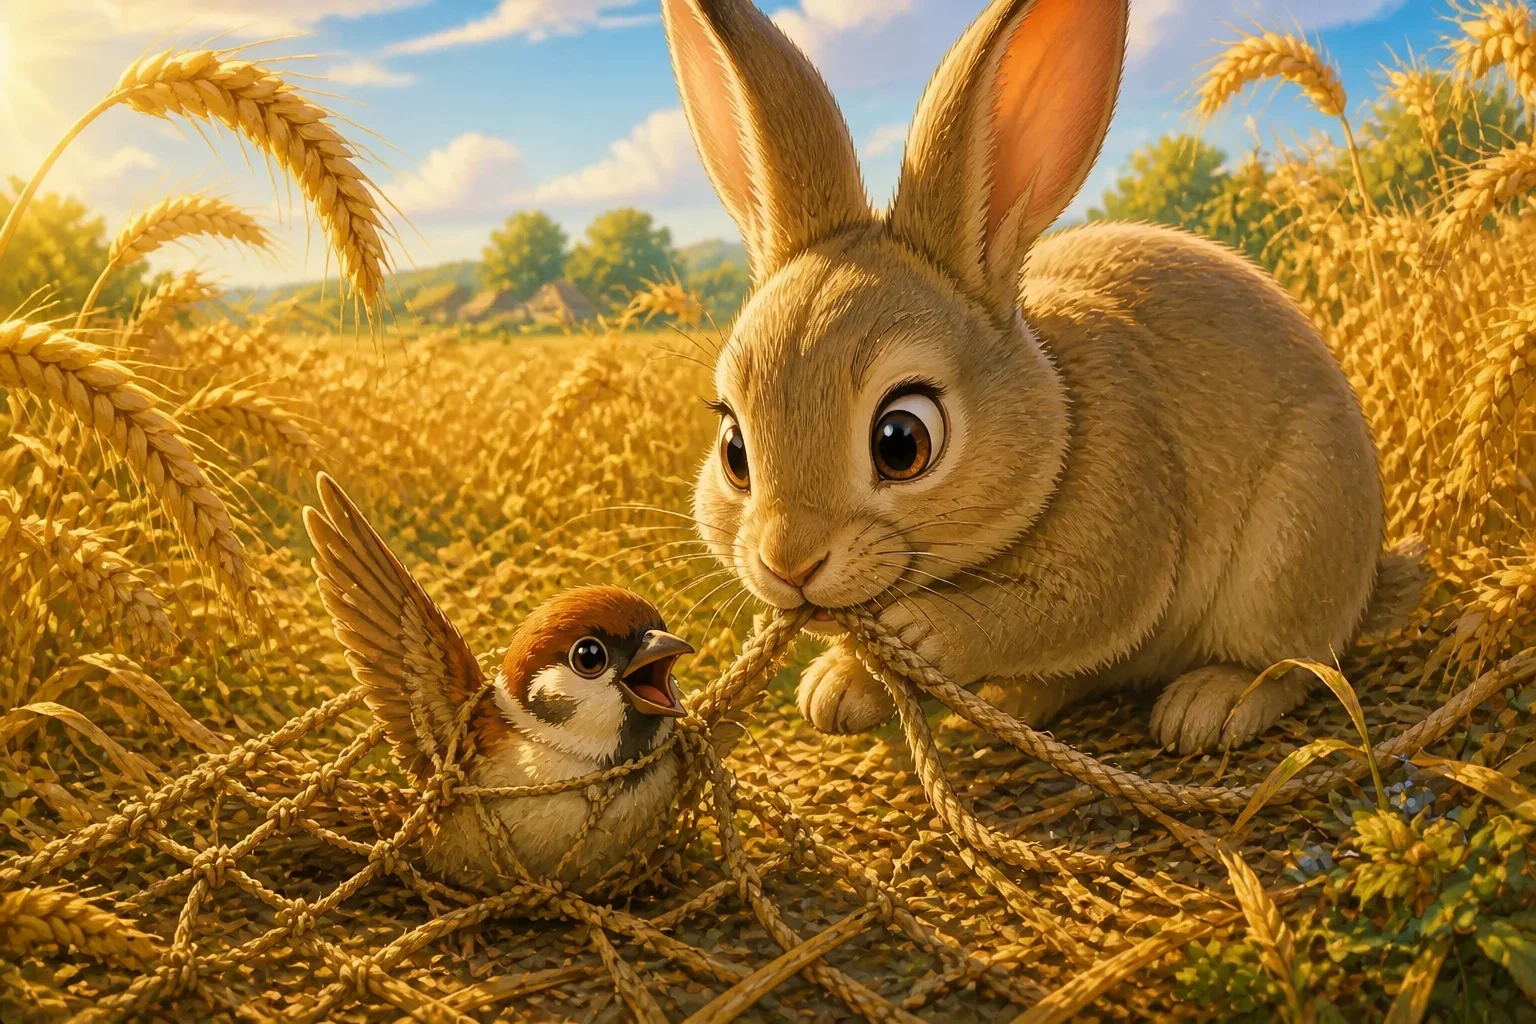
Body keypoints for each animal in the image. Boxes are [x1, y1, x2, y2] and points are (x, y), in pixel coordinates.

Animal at [661, 0, 1421, 753]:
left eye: (902, 442)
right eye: (734, 449)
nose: (790, 564)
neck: (1058, 417)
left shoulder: (1121, 528)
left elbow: (1056, 612)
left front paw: (918, 633)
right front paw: (835, 690)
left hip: (1293, 546)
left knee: (1296, 662)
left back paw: (1210, 704)